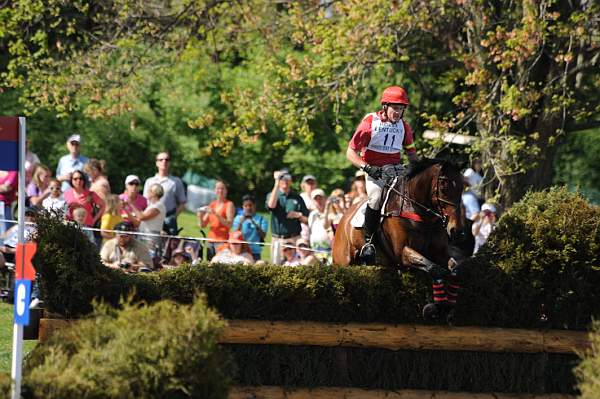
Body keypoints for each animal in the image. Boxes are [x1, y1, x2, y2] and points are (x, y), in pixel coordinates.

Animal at [332, 159, 464, 322]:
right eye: (444, 187)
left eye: (462, 187)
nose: (456, 230)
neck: (416, 210)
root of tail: (342, 220)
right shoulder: (402, 252)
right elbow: (435, 269)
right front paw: (436, 308)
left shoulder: (438, 252)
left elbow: (455, 270)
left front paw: (449, 306)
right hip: (343, 262)